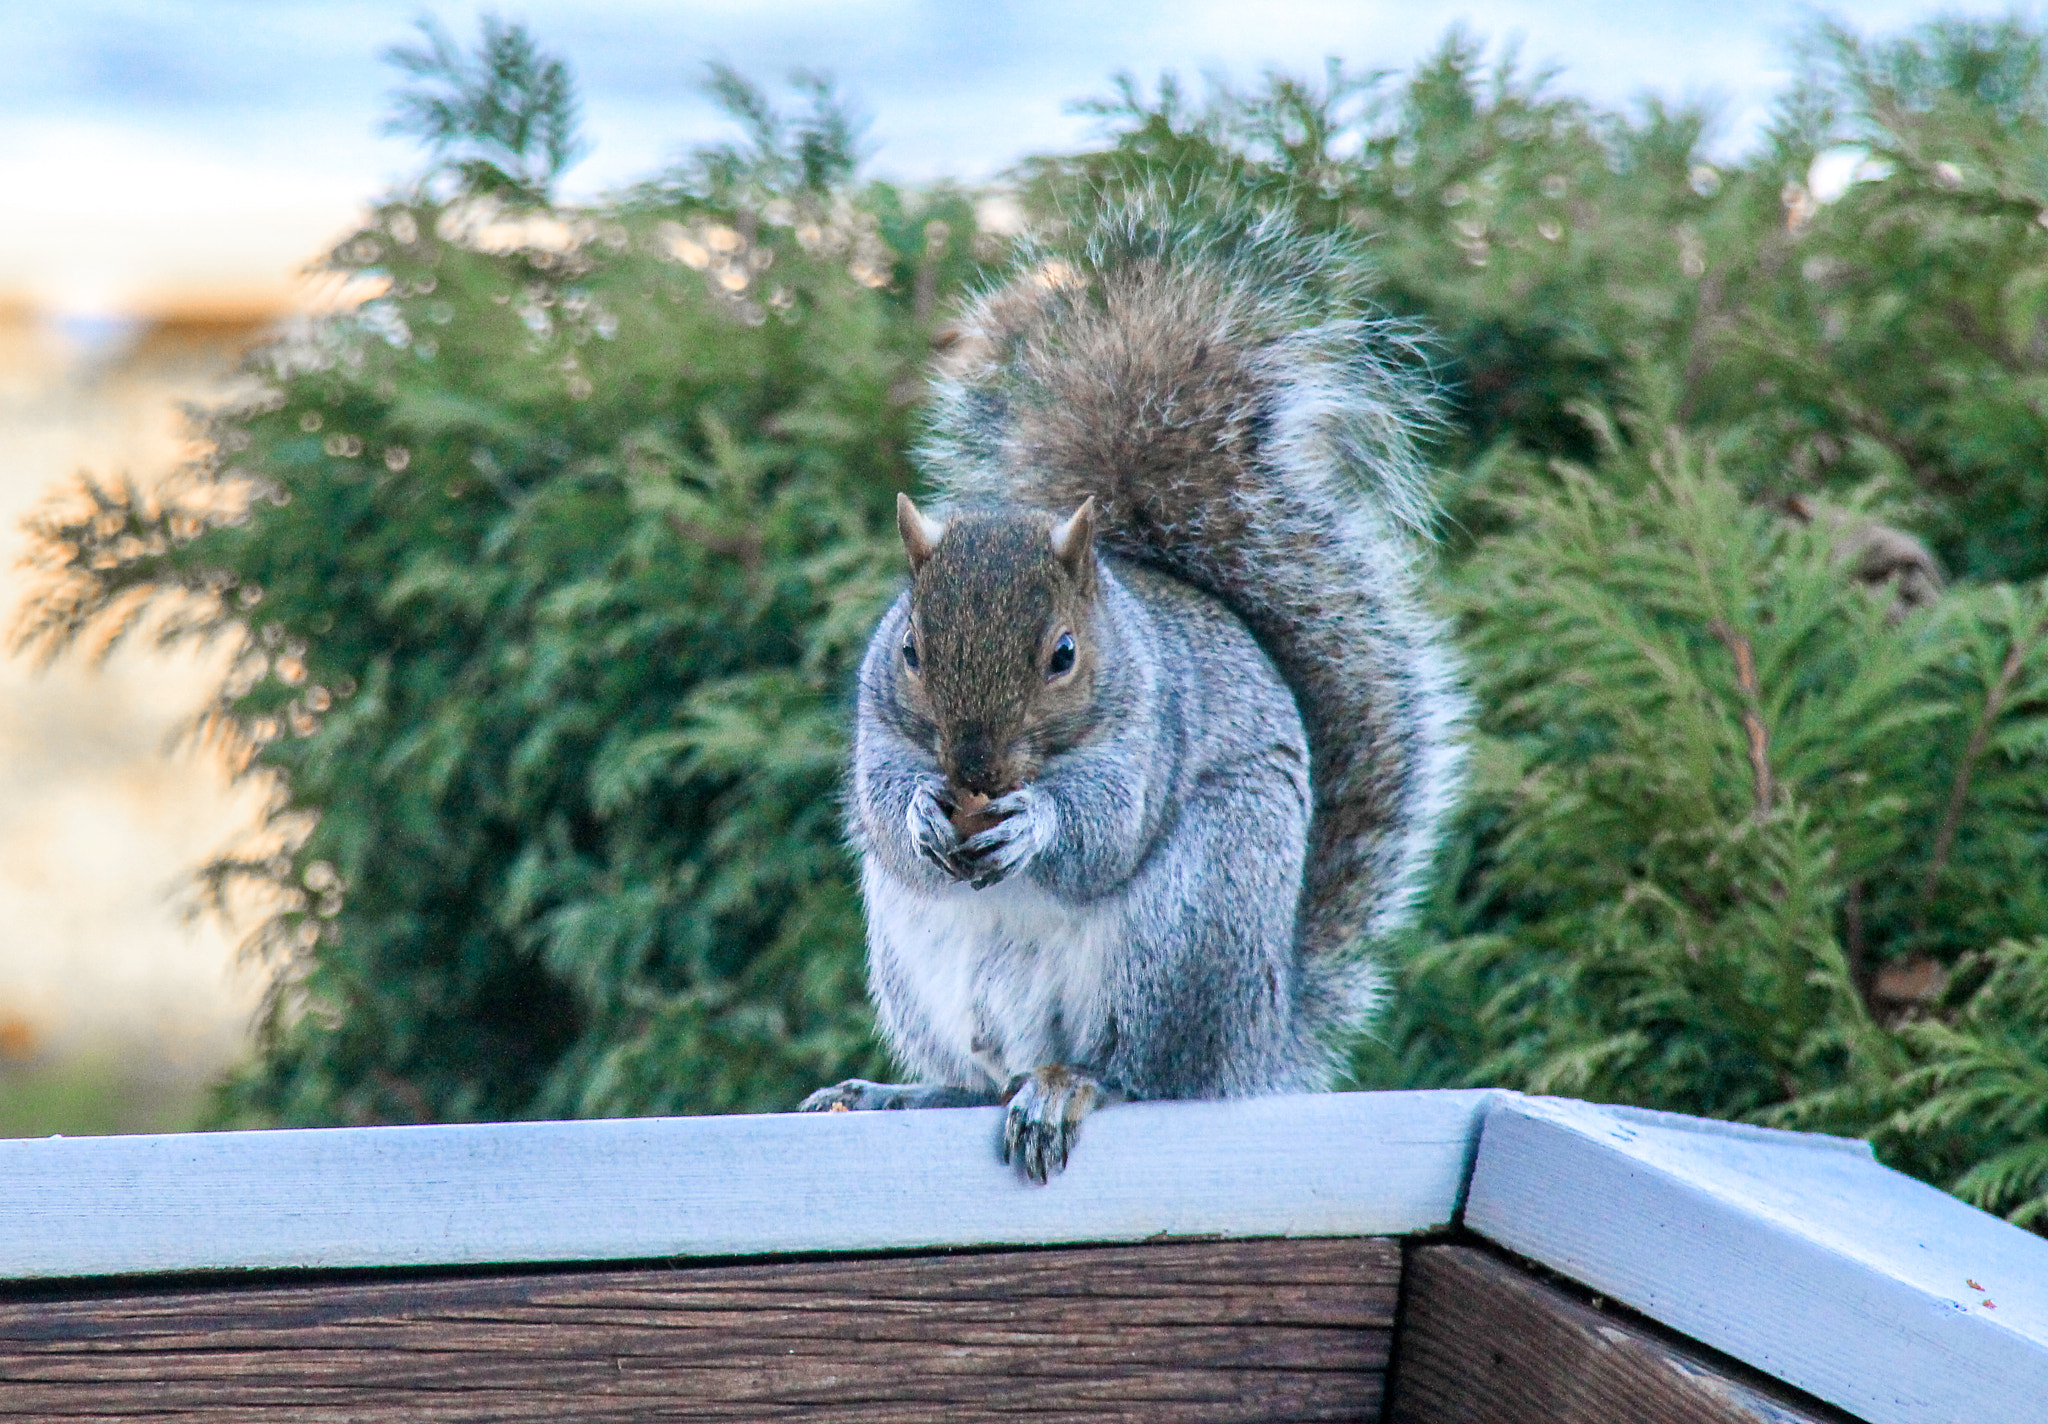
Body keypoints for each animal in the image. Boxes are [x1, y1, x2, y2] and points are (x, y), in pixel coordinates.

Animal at [799, 200, 1466, 1182]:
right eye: (911, 649)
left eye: (1063, 655)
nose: (974, 770)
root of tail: (1255, 1039)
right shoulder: (877, 727)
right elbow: (882, 810)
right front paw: (920, 810)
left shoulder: (1153, 730)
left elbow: (1106, 829)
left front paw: (1034, 823)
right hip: (917, 968)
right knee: (979, 1079)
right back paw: (903, 1092)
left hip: (1187, 927)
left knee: (1138, 1071)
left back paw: (1068, 1085)